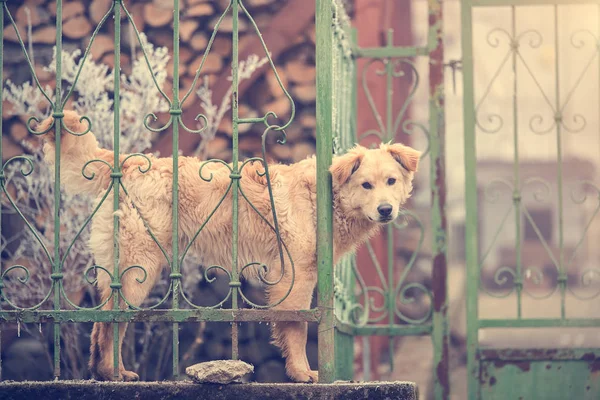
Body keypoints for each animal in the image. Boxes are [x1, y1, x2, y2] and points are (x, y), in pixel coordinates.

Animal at [38, 109, 422, 382]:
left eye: (391, 181)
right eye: (366, 185)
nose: (386, 210)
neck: (324, 200)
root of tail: (129, 162)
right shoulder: (296, 276)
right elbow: (296, 329)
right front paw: (301, 374)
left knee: (101, 323)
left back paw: (107, 372)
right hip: (140, 268)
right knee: (112, 323)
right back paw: (112, 373)